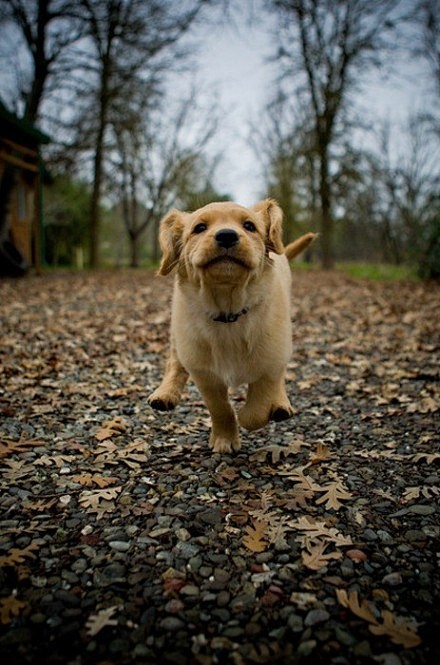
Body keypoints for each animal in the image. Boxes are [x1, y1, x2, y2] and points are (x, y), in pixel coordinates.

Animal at [149, 200, 316, 454]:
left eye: (249, 226)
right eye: (199, 228)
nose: (227, 235)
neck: (228, 313)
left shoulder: (271, 361)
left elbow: (258, 407)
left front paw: (254, 415)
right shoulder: (204, 373)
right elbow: (221, 408)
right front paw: (225, 438)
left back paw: (280, 405)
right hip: (178, 334)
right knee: (174, 362)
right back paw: (164, 394)